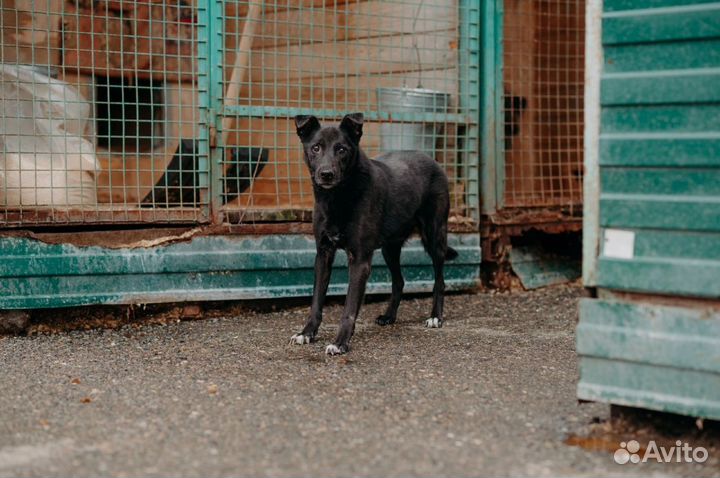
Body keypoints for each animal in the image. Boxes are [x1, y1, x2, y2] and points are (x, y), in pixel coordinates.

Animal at [286, 113, 456, 354]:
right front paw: (307, 333)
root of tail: (432, 160)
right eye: (316, 148)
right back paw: (389, 316)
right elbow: (316, 301)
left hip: (434, 237)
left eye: (342, 149)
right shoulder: (323, 254)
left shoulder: (359, 260)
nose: (326, 174)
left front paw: (340, 342)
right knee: (399, 281)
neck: (338, 198)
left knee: (439, 281)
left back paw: (435, 317)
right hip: (389, 248)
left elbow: (349, 308)